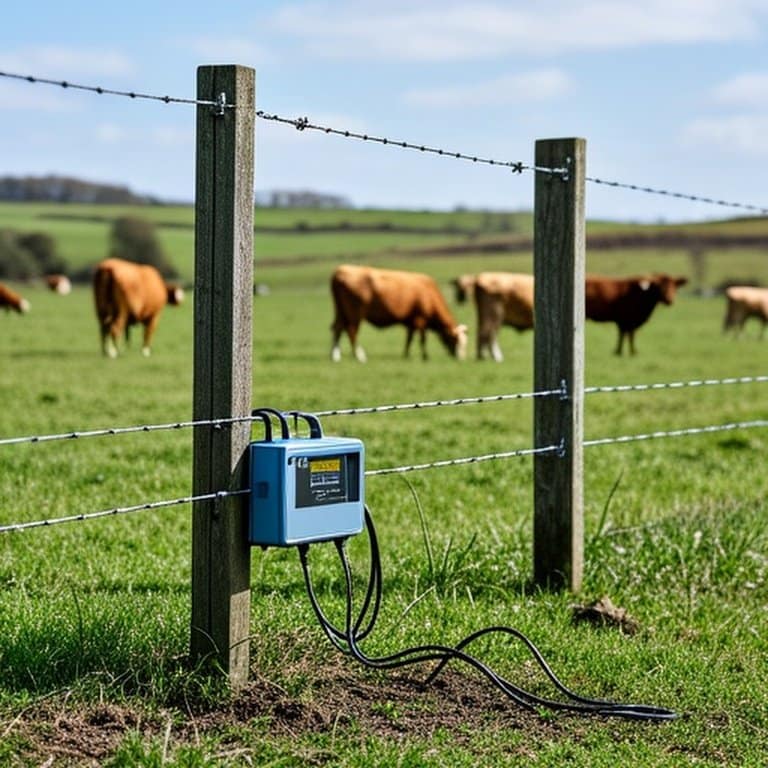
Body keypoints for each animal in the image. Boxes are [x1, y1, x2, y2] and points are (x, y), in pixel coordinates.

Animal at [330, 264, 467, 362]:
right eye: (455, 340)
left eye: (465, 343)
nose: (460, 358)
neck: (430, 295)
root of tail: (340, 271)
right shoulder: (420, 319)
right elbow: (422, 340)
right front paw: (425, 356)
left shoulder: (411, 321)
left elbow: (409, 339)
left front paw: (406, 355)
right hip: (355, 312)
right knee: (351, 331)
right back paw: (359, 356)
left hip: (340, 310)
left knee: (338, 328)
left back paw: (335, 356)